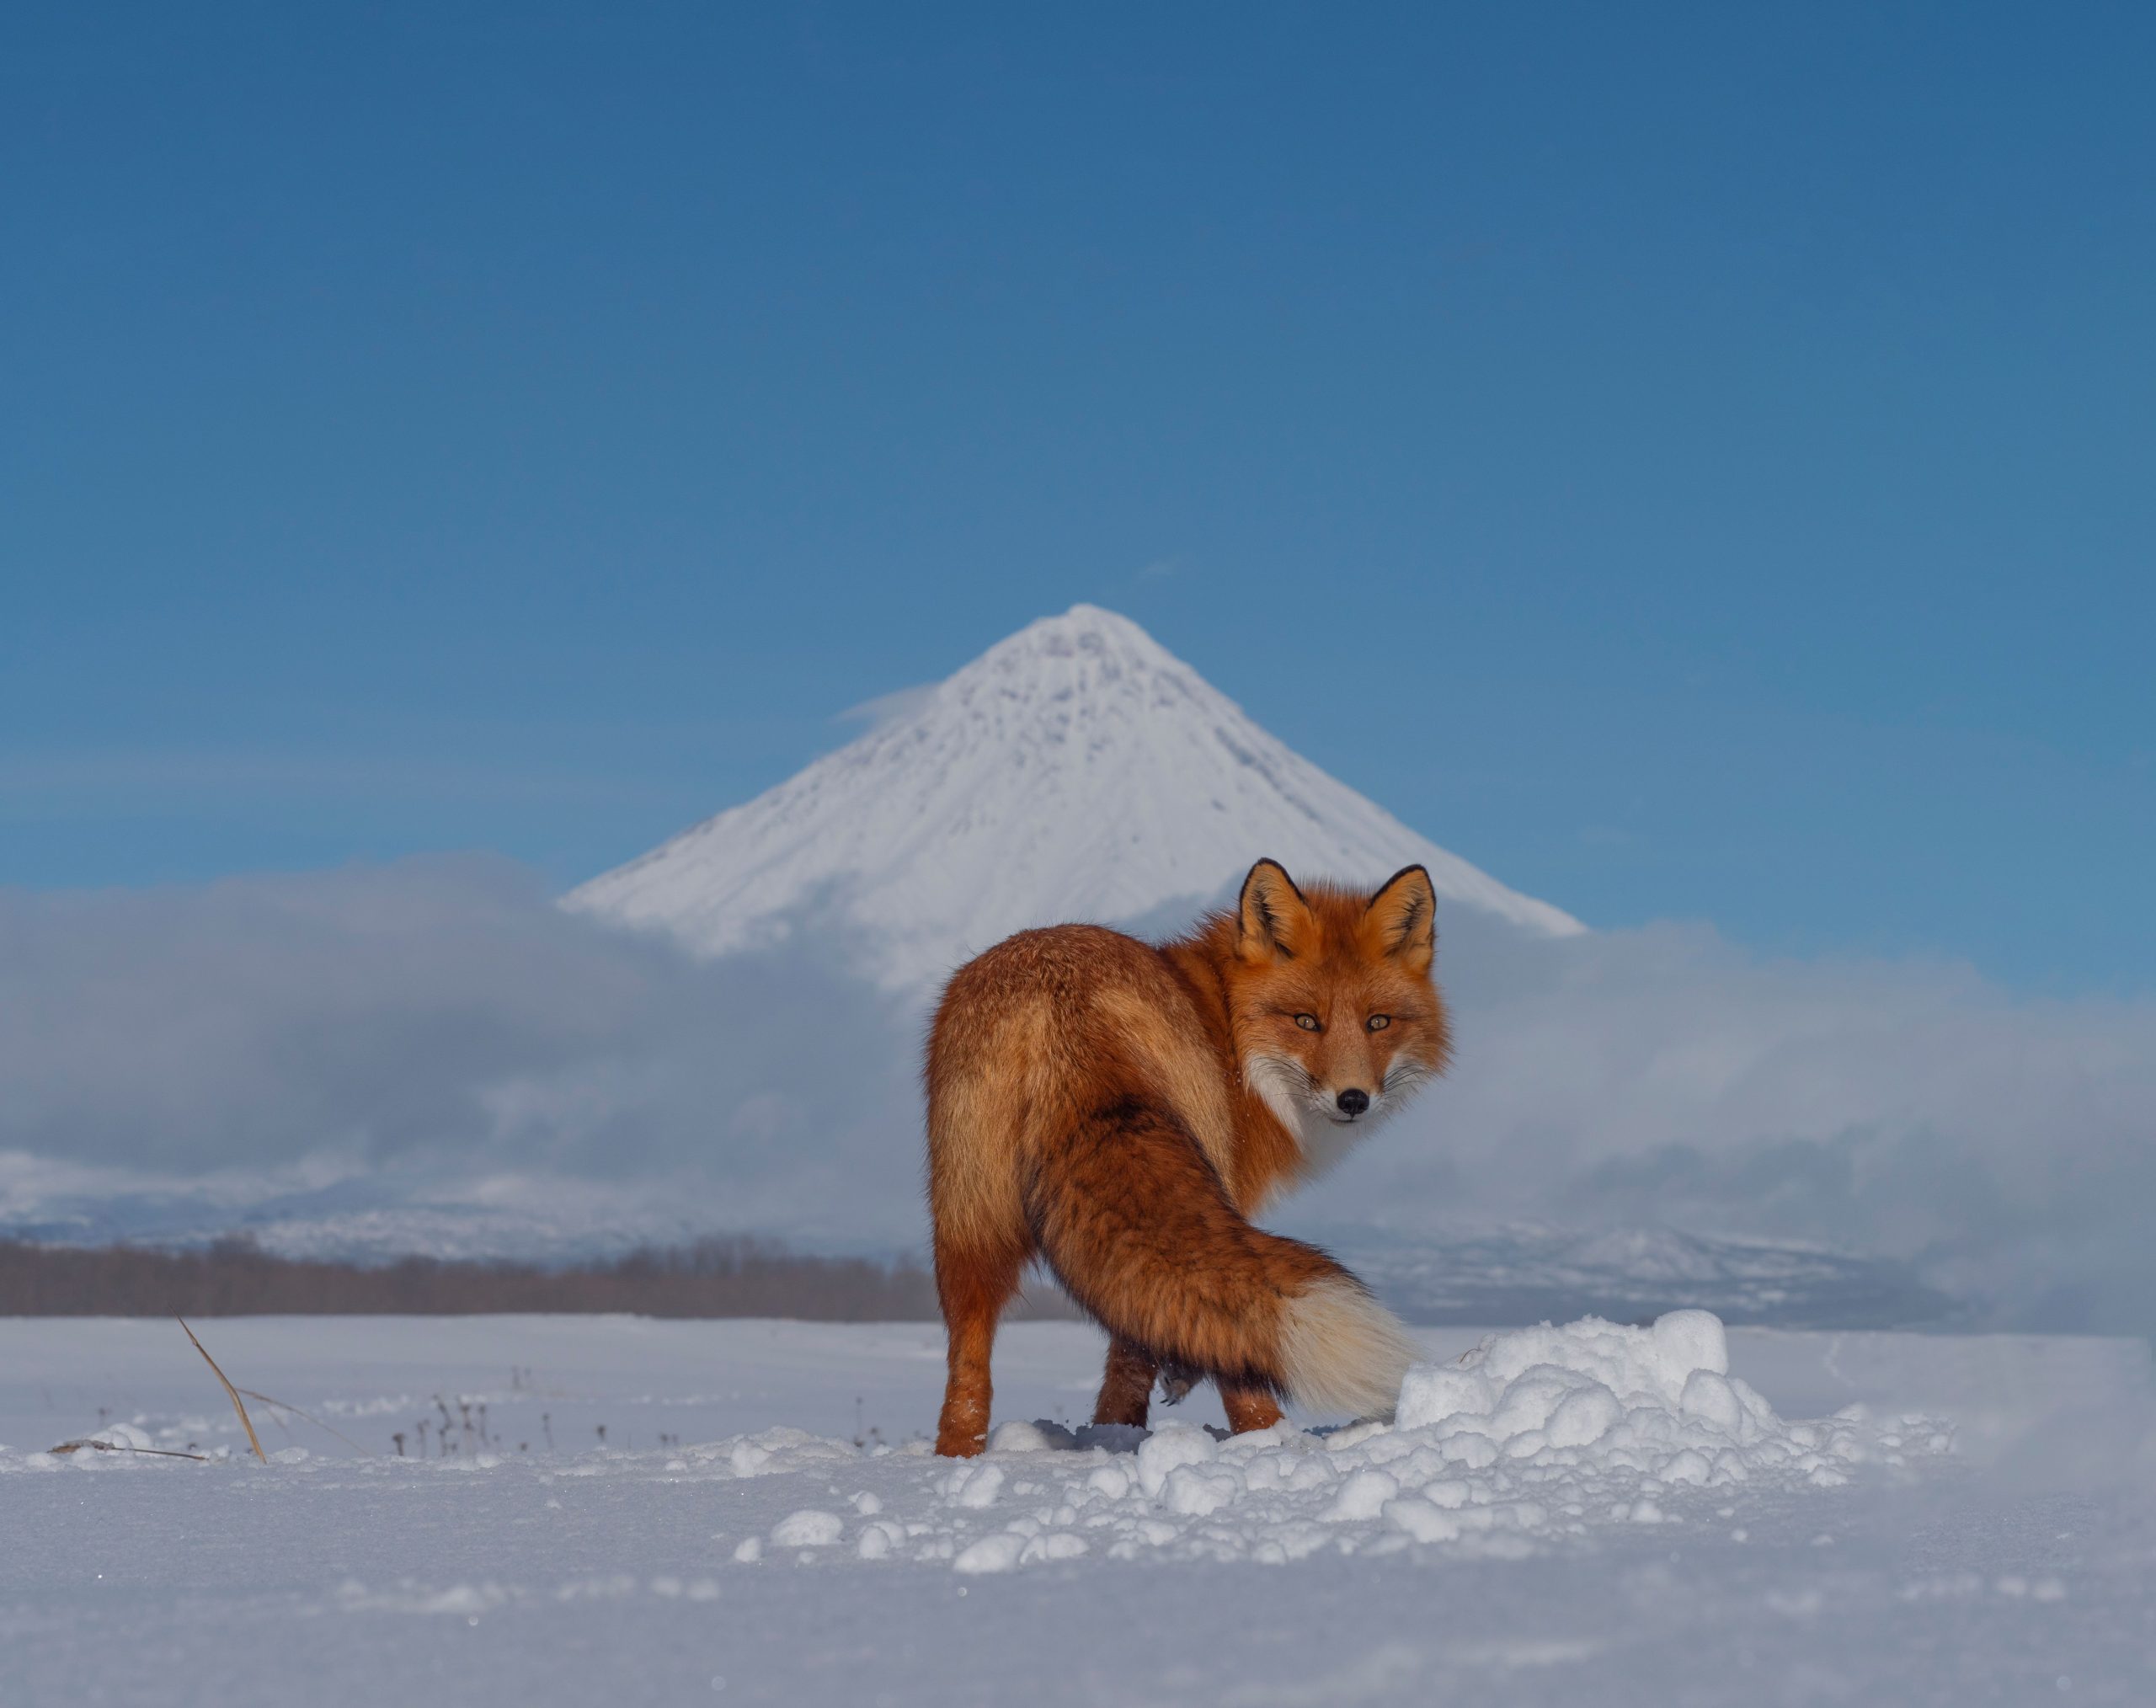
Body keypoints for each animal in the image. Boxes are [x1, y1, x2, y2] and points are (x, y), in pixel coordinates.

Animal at [922, 862, 1449, 1457]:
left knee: (971, 1361)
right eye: (1305, 1022)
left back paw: (962, 1454)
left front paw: (1120, 1424)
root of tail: (1055, 1001)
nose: (1354, 1099)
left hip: (967, 1223)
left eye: (1378, 1023)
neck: (1226, 1027)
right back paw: (1266, 1440)